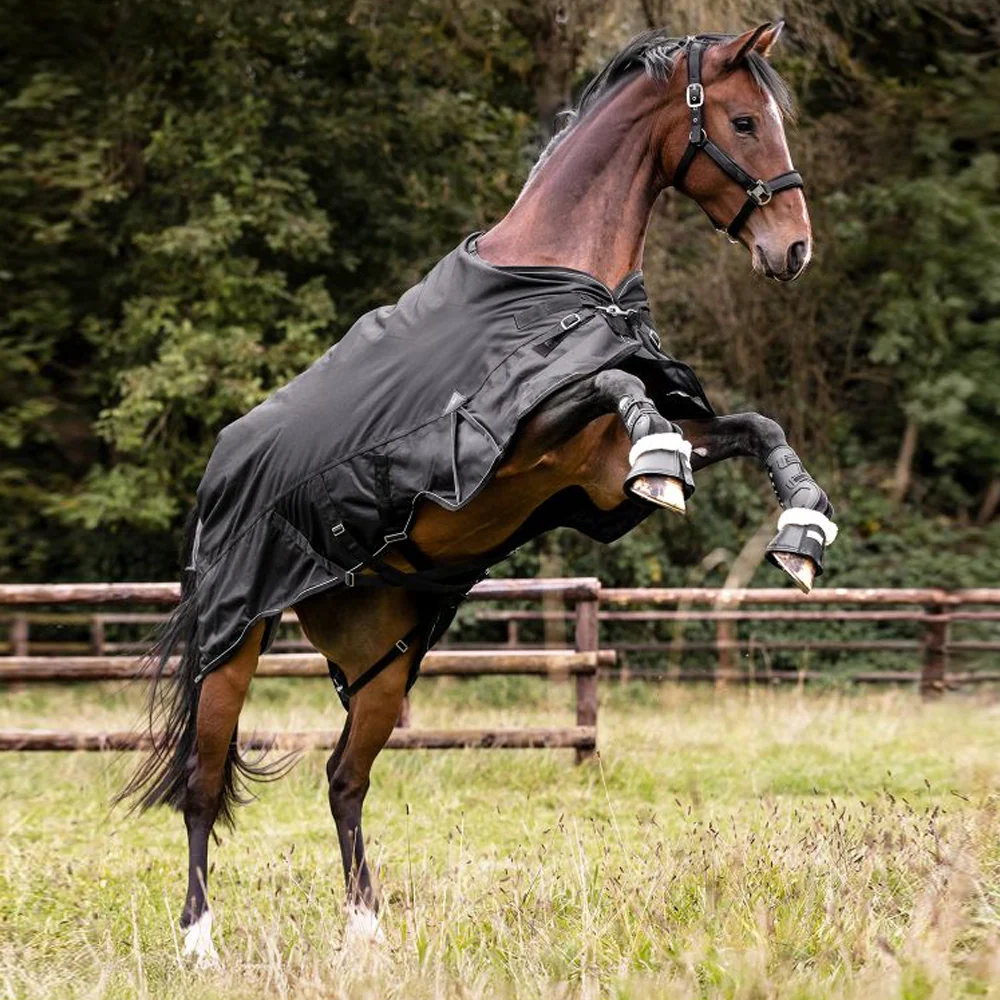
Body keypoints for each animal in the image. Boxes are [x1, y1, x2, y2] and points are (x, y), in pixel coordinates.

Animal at [121, 23, 837, 960]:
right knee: (204, 783)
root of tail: (218, 473)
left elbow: (756, 426)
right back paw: (199, 941)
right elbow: (616, 384)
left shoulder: (596, 475)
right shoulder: (517, 434)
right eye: (746, 121)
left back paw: (367, 932)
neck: (557, 284)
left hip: (385, 662)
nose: (793, 249)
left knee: (343, 779)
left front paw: (802, 531)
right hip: (231, 644)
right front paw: (667, 463)